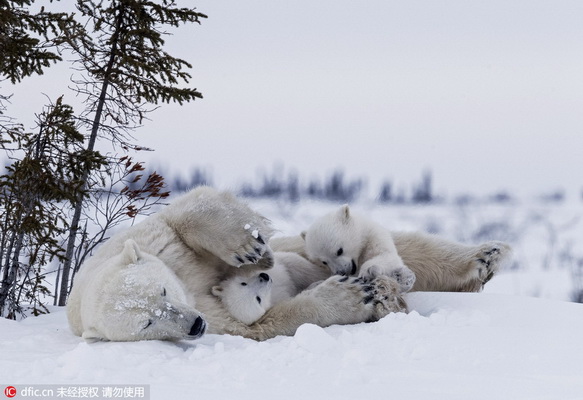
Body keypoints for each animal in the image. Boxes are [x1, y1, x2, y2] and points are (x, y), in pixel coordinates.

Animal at [66, 187, 400, 340]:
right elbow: (256, 325)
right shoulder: (216, 319)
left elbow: (189, 210)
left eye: (162, 290)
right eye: (146, 323)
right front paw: (349, 297)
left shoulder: (154, 241)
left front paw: (250, 248)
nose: (195, 324)